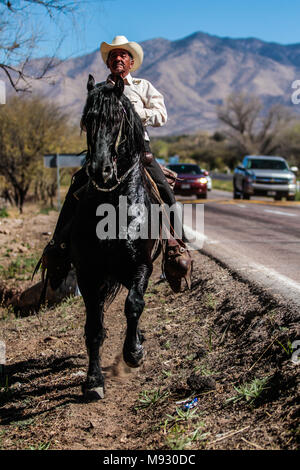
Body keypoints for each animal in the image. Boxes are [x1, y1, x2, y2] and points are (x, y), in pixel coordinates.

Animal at [71, 75, 159, 398]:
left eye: (115, 119)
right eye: (88, 120)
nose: (101, 170)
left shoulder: (141, 266)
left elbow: (134, 305)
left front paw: (133, 353)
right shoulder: (88, 273)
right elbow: (94, 328)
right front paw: (94, 380)